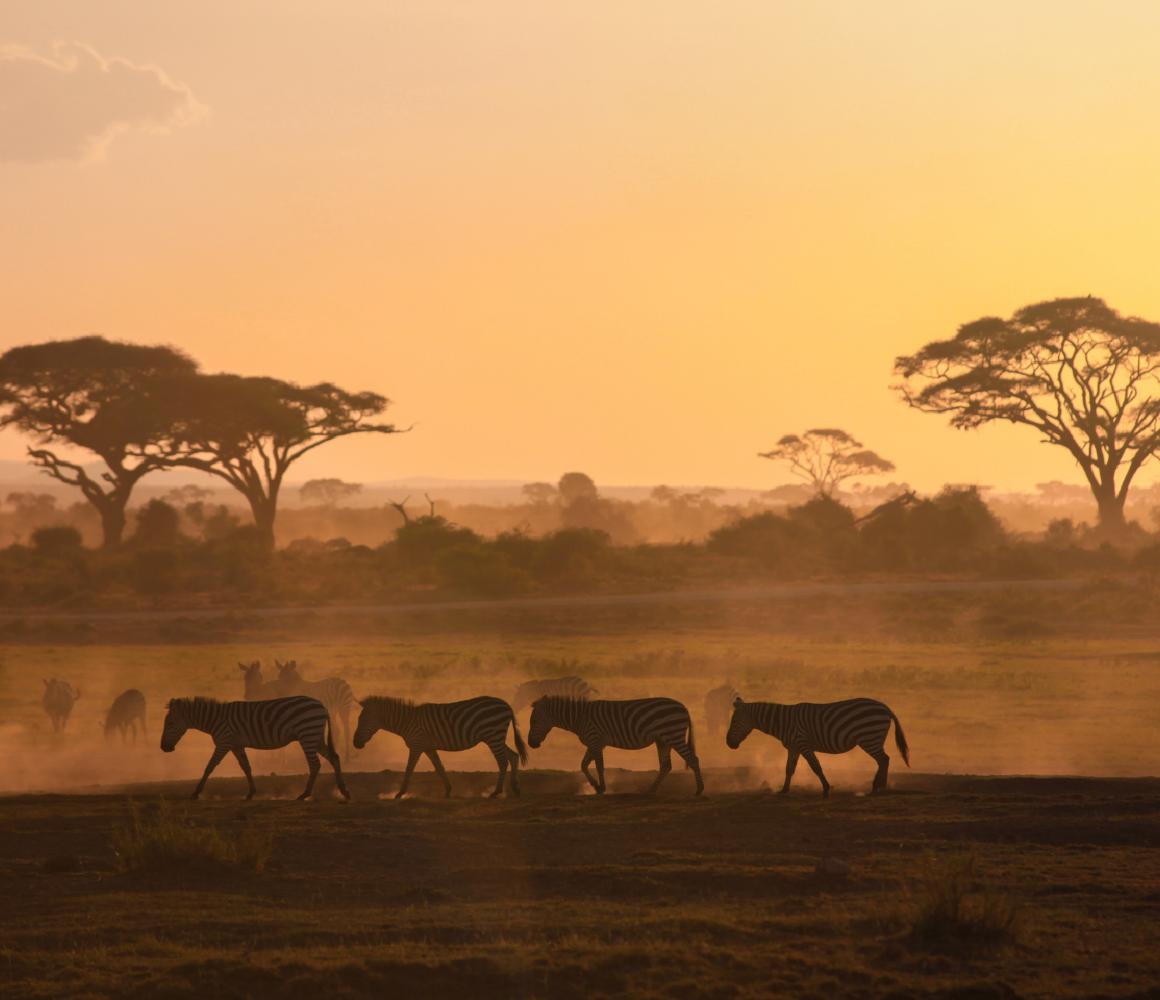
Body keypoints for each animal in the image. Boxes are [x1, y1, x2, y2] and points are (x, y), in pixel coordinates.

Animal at [160, 695, 350, 801]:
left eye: (170, 724)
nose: (164, 748)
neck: (215, 720)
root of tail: (322, 705)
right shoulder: (236, 745)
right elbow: (246, 767)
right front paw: (251, 793)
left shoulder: (224, 742)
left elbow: (209, 767)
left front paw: (195, 793)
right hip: (314, 736)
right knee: (334, 758)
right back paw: (343, 791)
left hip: (308, 734)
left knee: (315, 764)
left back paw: (305, 794)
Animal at [353, 695, 526, 799]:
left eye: (362, 720)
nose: (355, 743)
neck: (406, 722)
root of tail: (505, 704)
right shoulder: (428, 747)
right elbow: (439, 767)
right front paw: (448, 790)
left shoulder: (417, 745)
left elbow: (409, 769)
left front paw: (400, 793)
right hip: (495, 737)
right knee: (513, 756)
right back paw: (516, 788)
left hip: (493, 735)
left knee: (503, 761)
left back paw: (496, 792)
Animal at [527, 696, 704, 796]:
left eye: (534, 721)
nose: (531, 743)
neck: (579, 717)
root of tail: (683, 707)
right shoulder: (594, 743)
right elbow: (583, 765)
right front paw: (595, 786)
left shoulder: (595, 740)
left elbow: (599, 766)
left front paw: (602, 787)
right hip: (663, 740)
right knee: (666, 765)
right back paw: (652, 790)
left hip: (673, 735)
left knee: (693, 759)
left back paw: (699, 790)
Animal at [726, 697, 910, 797]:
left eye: (734, 721)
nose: (728, 743)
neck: (783, 722)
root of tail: (885, 707)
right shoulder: (794, 747)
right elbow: (789, 769)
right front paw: (784, 790)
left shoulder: (803, 744)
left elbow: (816, 767)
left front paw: (827, 789)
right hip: (872, 738)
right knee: (883, 760)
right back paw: (878, 787)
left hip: (869, 737)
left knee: (884, 759)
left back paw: (878, 788)